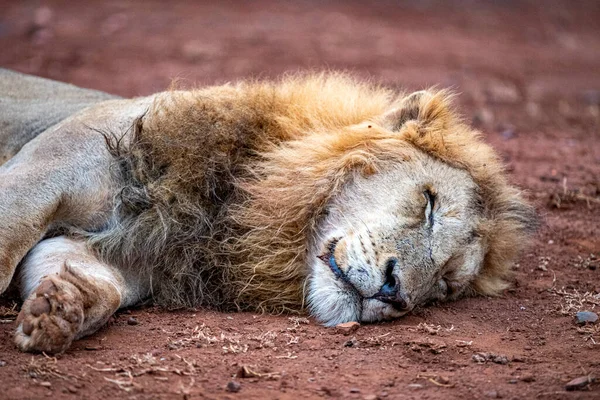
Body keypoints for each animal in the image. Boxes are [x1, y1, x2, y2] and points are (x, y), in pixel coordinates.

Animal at [0, 69, 536, 354]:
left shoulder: (129, 257)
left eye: (445, 285)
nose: (394, 294)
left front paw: (61, 306)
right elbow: (7, 244)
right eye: (429, 203)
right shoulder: (41, 177)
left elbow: (94, 283)